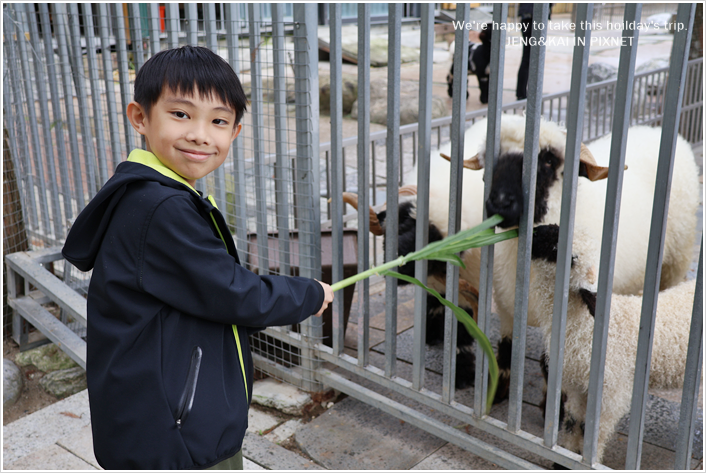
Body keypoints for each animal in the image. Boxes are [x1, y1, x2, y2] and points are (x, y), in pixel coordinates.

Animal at [528, 223, 692, 462]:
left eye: (571, 256)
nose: (535, 231)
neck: (587, 328)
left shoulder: (612, 393)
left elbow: (593, 430)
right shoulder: (577, 386)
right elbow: (573, 422)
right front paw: (567, 455)